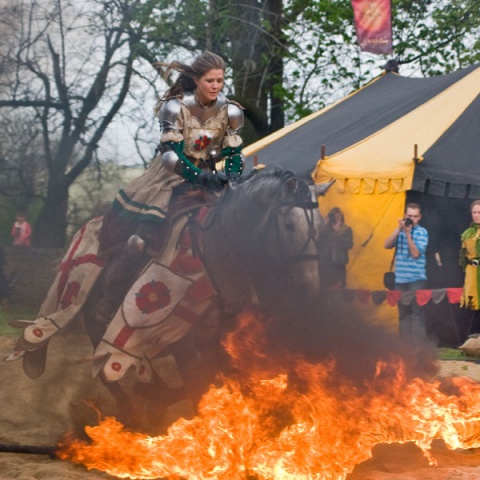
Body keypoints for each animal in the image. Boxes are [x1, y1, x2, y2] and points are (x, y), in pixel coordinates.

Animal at [9, 168, 332, 428]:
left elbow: (208, 382)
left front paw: (157, 398)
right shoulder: (182, 341)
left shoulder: (218, 340)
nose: (310, 288)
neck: (217, 250)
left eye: (320, 227)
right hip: (91, 311)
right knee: (102, 358)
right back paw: (130, 411)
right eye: (289, 225)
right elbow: (196, 385)